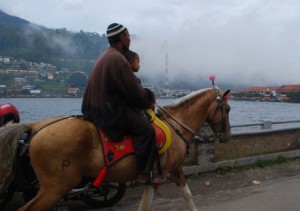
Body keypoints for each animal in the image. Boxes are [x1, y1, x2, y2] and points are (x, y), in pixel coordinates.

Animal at [0, 86, 231, 211]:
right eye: (227, 109)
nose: (227, 136)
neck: (176, 124)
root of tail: (35, 127)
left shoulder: (175, 169)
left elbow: (188, 195)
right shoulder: (159, 175)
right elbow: (146, 205)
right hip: (54, 188)